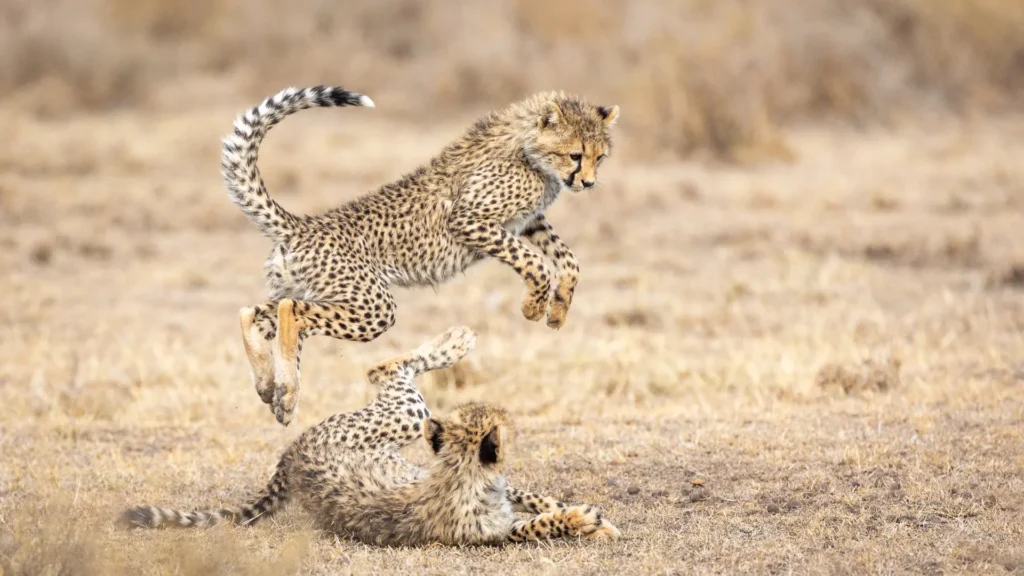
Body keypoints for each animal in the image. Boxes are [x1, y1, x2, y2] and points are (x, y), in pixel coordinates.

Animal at [120, 326, 622, 546]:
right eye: (499, 420)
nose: (507, 415)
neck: (459, 473)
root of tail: (290, 453)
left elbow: (530, 497)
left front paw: (585, 513)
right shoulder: (490, 533)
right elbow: (536, 523)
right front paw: (580, 520)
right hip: (406, 415)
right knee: (383, 367)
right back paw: (456, 340)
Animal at [223, 85, 619, 425]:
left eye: (599, 157)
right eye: (575, 155)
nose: (588, 182)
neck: (529, 150)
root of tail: (302, 226)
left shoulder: (527, 221)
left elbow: (568, 259)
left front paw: (558, 309)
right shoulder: (471, 220)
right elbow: (534, 262)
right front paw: (533, 306)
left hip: (315, 291)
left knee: (254, 312)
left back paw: (272, 389)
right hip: (372, 307)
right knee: (291, 311)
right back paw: (287, 392)